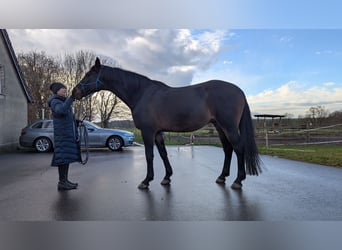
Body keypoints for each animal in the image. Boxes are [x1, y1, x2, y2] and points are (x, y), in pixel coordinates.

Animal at [71, 57, 260, 189]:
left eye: (89, 74)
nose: (74, 92)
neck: (141, 93)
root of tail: (239, 91)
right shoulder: (158, 132)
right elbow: (163, 153)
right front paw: (166, 177)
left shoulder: (148, 131)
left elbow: (149, 155)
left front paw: (146, 181)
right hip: (219, 126)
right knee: (228, 149)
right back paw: (222, 177)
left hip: (229, 127)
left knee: (238, 148)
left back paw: (238, 180)